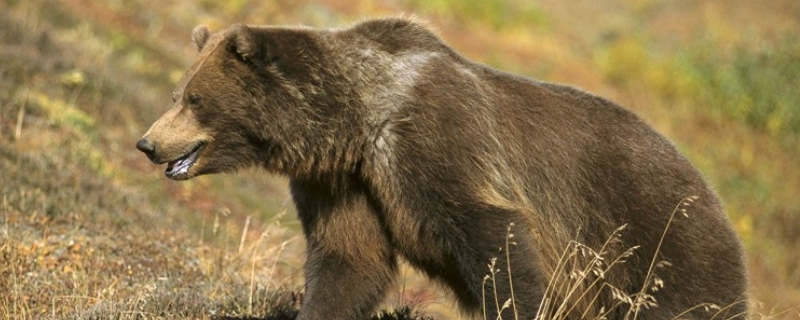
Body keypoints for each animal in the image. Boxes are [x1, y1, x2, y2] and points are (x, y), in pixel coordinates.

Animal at [136, 18, 752, 318]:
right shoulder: (345, 182)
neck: (355, 118)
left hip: (657, 239)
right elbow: (348, 260)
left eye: (194, 99)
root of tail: (714, 193)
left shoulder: (433, 143)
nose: (147, 143)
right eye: (178, 92)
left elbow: (496, 243)